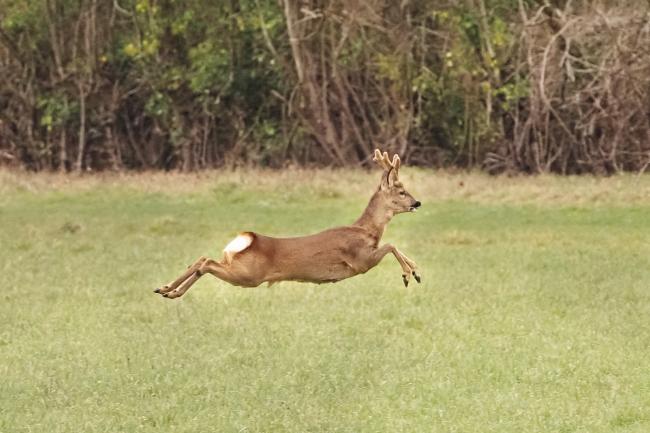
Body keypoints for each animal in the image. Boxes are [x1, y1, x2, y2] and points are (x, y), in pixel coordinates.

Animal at [154, 149, 421, 299]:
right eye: (401, 191)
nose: (417, 202)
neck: (367, 230)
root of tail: (247, 238)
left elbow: (394, 246)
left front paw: (416, 271)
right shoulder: (360, 261)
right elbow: (391, 245)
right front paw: (409, 274)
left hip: (237, 267)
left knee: (202, 259)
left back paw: (167, 290)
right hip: (247, 276)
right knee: (206, 263)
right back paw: (171, 291)